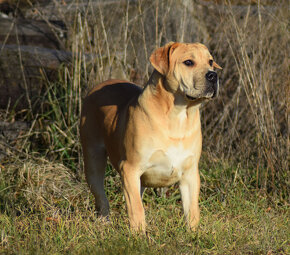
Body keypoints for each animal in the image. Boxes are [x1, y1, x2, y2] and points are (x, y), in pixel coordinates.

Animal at [80, 41, 221, 231]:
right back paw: (104, 222)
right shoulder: (130, 168)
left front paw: (193, 233)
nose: (213, 75)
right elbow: (137, 209)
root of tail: (97, 86)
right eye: (188, 62)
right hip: (93, 161)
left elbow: (192, 210)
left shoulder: (190, 174)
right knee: (101, 197)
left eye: (210, 61)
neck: (178, 116)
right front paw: (138, 235)